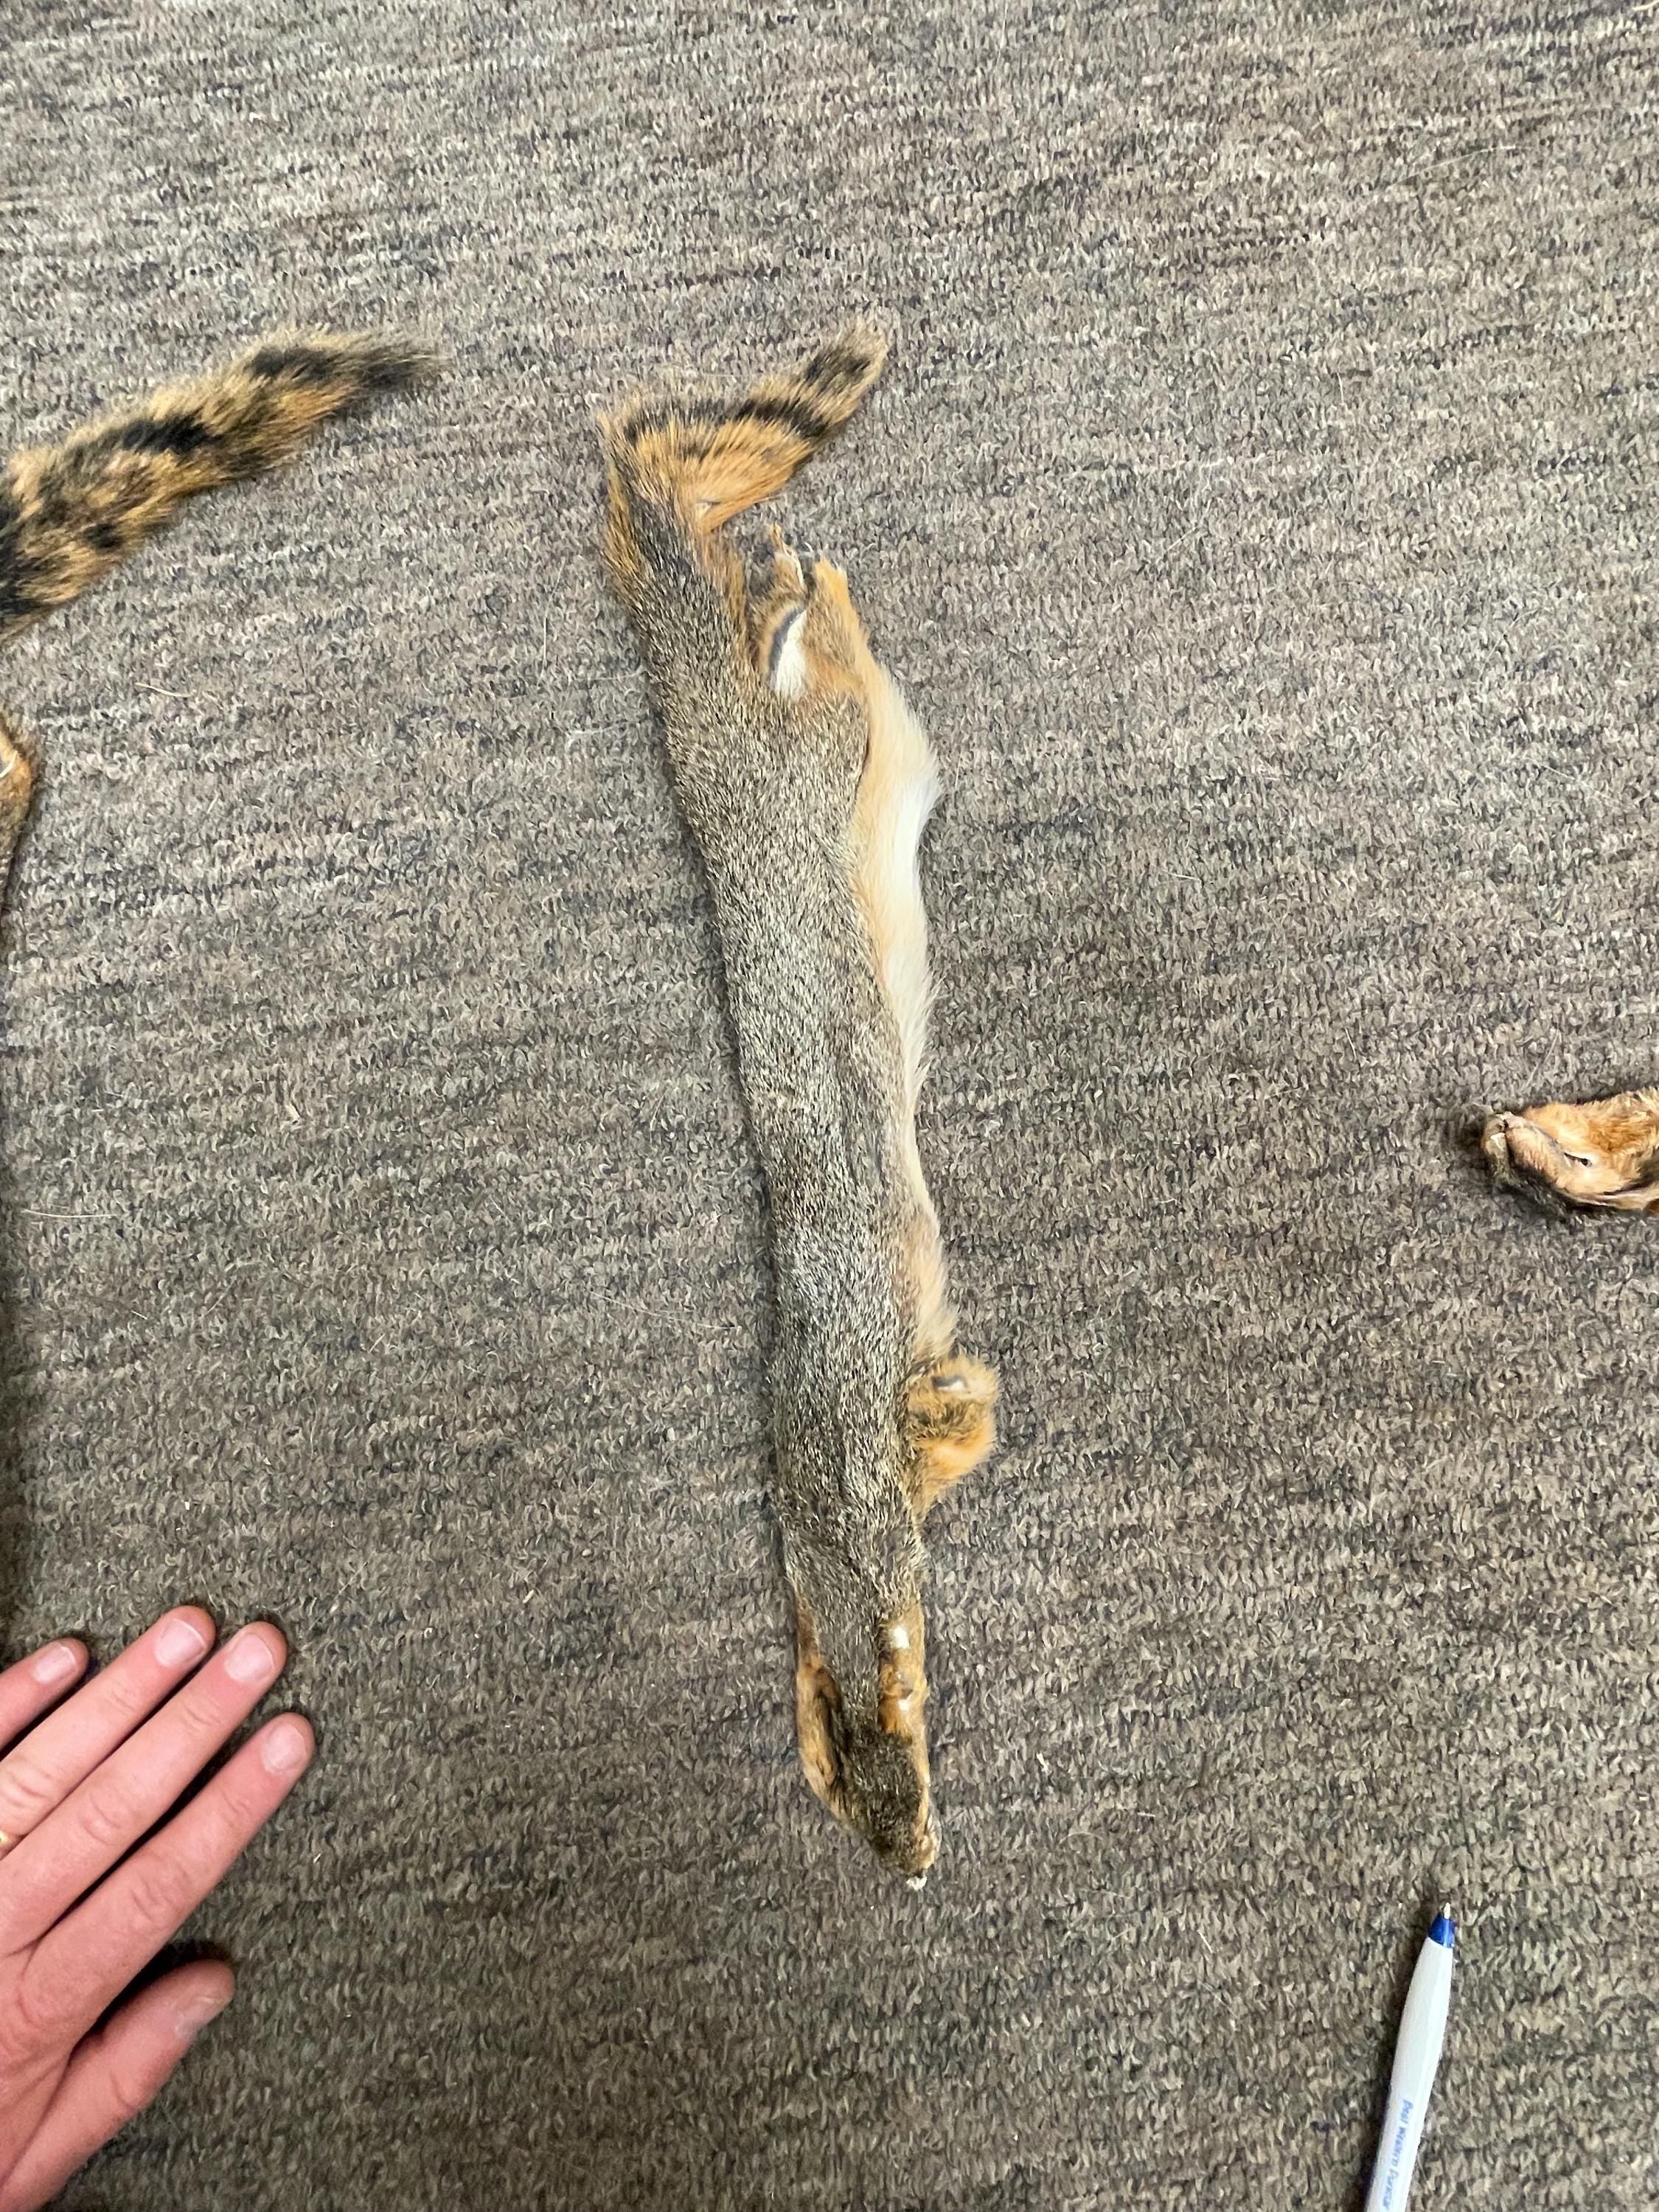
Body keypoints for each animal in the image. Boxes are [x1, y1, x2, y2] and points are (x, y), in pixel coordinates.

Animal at [600, 328, 997, 1881]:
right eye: (843, 1796)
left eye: (919, 1731)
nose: (919, 1868)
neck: (832, 1553)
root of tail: (702, 732)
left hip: (818, 758)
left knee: (819, 671)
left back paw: (805, 586)